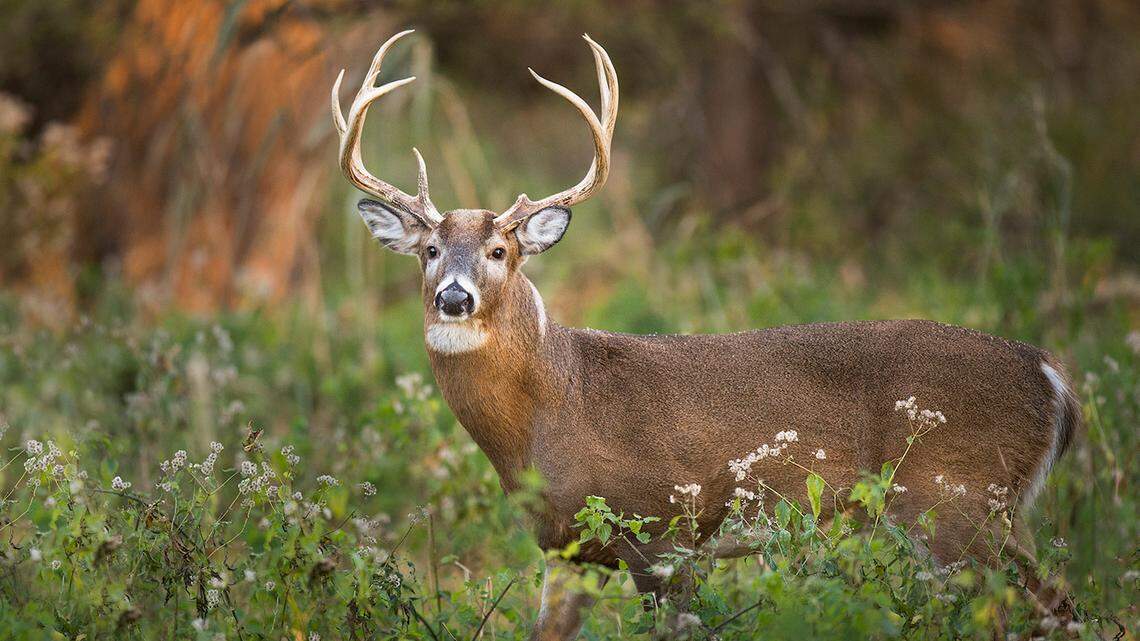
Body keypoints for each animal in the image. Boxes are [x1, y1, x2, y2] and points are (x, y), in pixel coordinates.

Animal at [331, 30, 1081, 640]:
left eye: (499, 251)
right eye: (429, 249)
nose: (454, 297)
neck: (554, 406)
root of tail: (1050, 374)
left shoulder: (665, 529)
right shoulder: (566, 549)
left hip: (960, 500)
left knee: (1046, 605)